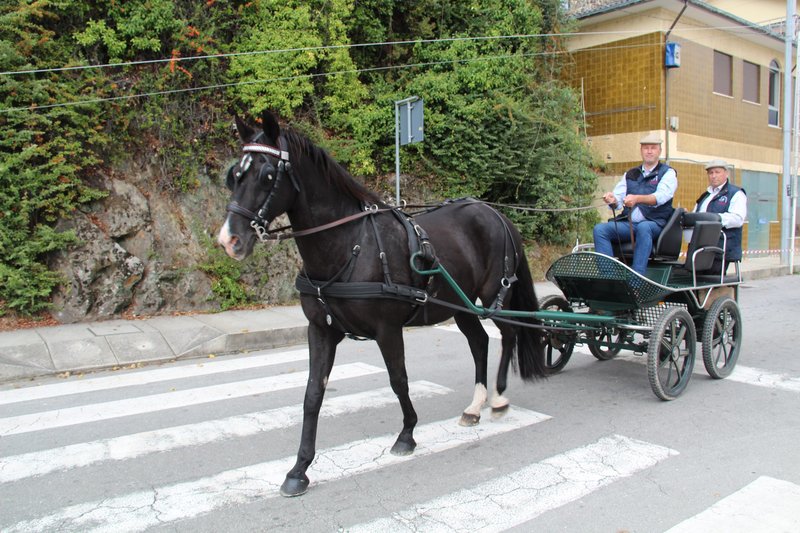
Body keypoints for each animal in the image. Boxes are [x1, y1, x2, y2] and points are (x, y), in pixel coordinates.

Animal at [216, 110, 548, 496]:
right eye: (235, 175)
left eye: (268, 175)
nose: (229, 240)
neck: (349, 244)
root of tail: (494, 213)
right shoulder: (320, 330)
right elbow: (313, 394)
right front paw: (299, 469)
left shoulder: (388, 330)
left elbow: (398, 380)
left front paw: (407, 434)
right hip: (460, 305)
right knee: (479, 342)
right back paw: (475, 405)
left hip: (495, 294)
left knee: (507, 335)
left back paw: (498, 397)